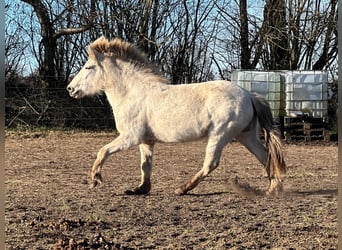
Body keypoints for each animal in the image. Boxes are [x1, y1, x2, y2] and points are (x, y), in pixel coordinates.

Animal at [67, 37, 286, 196]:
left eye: (88, 67)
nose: (70, 89)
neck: (132, 93)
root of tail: (249, 95)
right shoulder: (146, 141)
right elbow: (145, 165)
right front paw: (139, 190)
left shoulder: (130, 137)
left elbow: (103, 151)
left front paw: (95, 179)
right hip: (245, 135)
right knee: (265, 157)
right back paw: (273, 190)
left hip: (220, 135)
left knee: (211, 164)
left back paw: (182, 189)